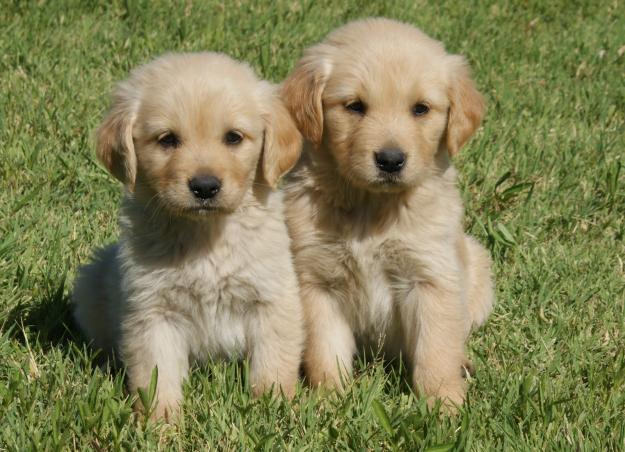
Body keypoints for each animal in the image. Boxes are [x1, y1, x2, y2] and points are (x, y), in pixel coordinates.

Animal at [72, 53, 304, 420]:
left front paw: (273, 409)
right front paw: (161, 422)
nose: (205, 187)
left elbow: (273, 363)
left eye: (233, 138)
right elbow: (156, 374)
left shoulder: (272, 297)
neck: (205, 237)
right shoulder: (152, 311)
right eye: (167, 139)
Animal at [282, 17, 492, 408]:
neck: (372, 207)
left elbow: (436, 350)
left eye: (421, 109)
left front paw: (444, 405)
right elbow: (325, 350)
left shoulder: (431, 276)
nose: (391, 161)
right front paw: (329, 401)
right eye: (354, 106)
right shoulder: (317, 280)